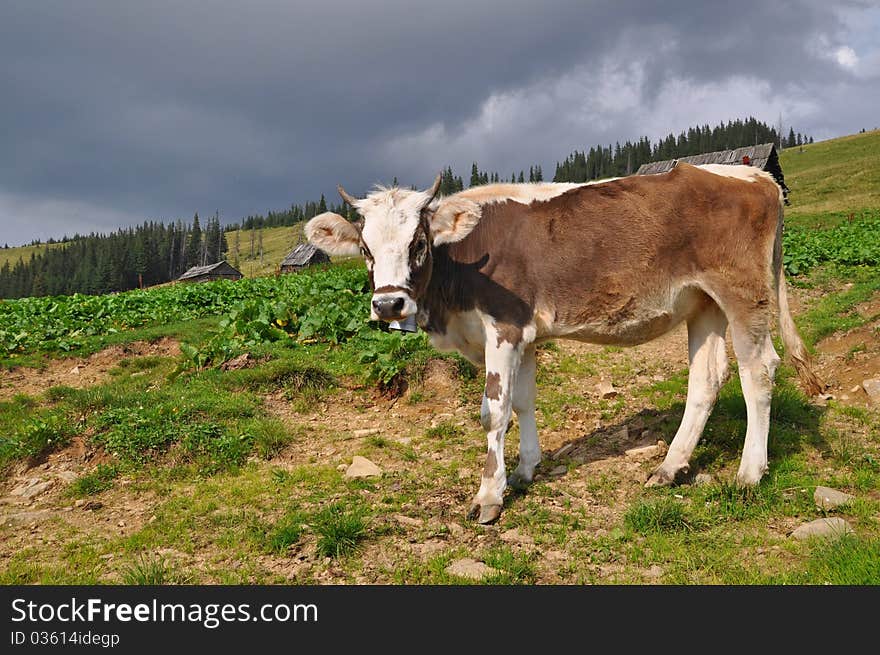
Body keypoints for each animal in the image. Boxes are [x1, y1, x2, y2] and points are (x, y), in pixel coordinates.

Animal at [306, 167, 820, 524]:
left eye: (418, 242)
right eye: (366, 249)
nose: (388, 303)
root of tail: (757, 176)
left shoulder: (504, 327)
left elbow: (494, 410)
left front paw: (488, 497)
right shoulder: (525, 336)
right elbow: (523, 403)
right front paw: (525, 470)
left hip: (743, 293)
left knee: (759, 370)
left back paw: (749, 473)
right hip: (702, 302)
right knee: (707, 378)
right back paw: (669, 468)